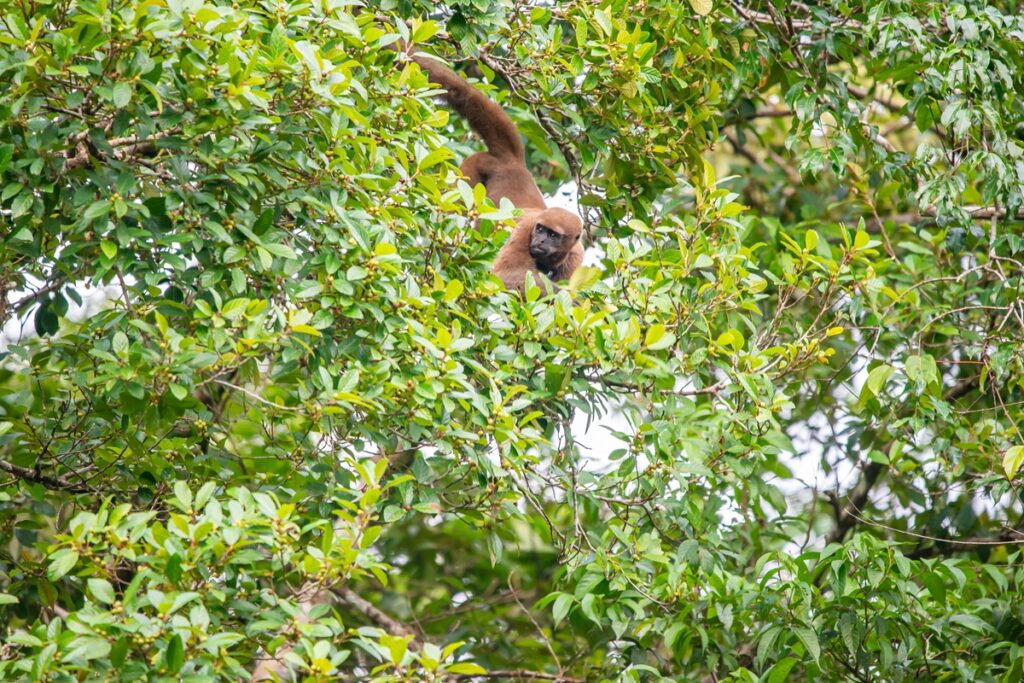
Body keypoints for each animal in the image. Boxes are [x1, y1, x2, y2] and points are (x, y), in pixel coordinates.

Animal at [401, 45, 585, 293]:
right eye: (540, 230)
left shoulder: (576, 255)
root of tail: (514, 162)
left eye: (553, 234)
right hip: (474, 166)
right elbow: (504, 274)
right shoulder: (524, 231)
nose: (540, 241)